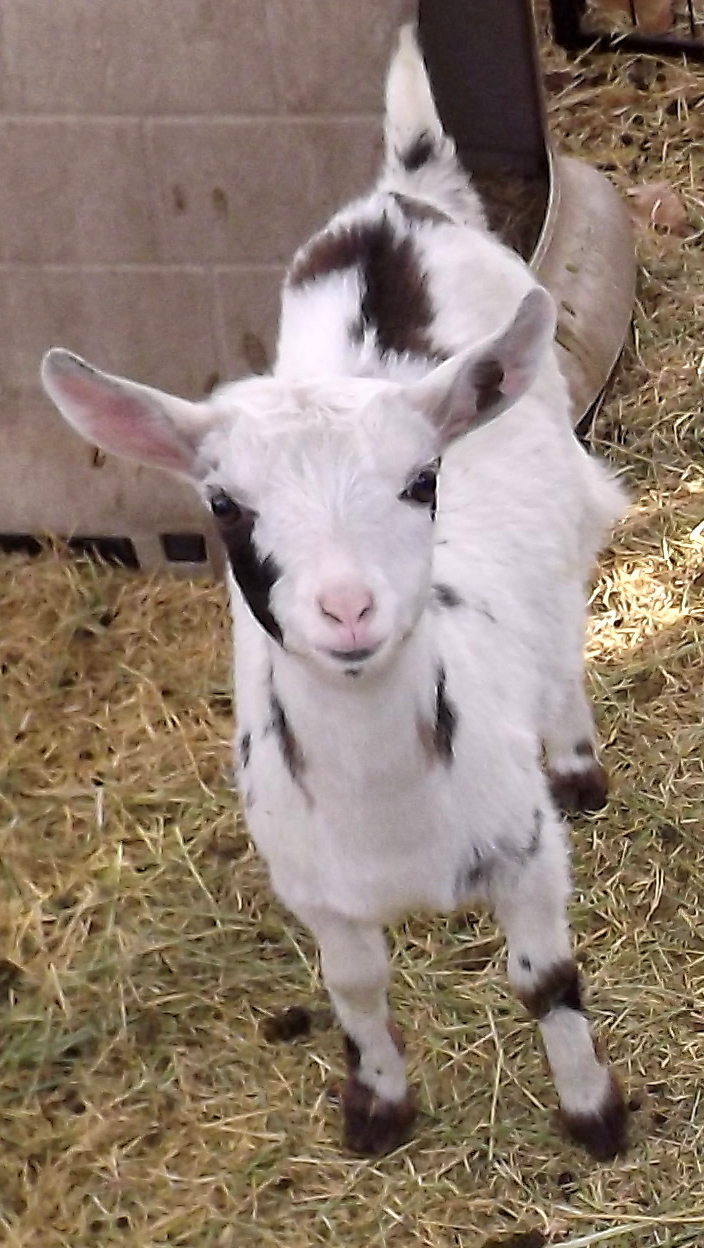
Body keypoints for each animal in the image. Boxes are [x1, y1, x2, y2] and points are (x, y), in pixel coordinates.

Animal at [41, 26, 628, 1161]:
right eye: (223, 504)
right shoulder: (314, 884)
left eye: (422, 480)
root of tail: (401, 198)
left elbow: (547, 981)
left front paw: (594, 1114)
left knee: (565, 637)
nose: (348, 610)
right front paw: (377, 1108)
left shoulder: (525, 854)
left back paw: (579, 762)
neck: (386, 811)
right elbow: (355, 987)